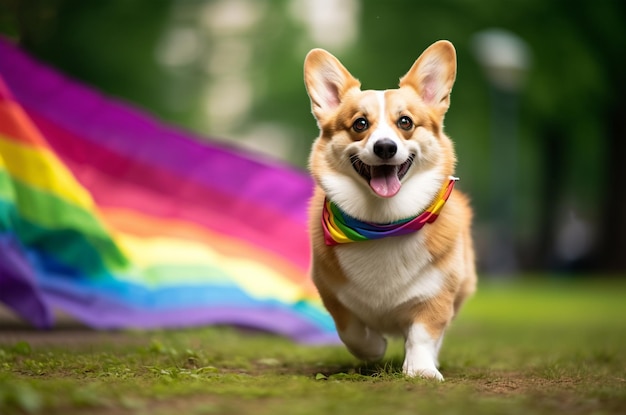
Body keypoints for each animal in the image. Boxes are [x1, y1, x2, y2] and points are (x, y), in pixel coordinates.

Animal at [304, 40, 476, 382]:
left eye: (405, 122)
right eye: (360, 124)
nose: (385, 147)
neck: (384, 221)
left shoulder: (437, 294)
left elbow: (423, 333)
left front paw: (421, 369)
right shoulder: (331, 293)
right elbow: (352, 331)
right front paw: (375, 349)